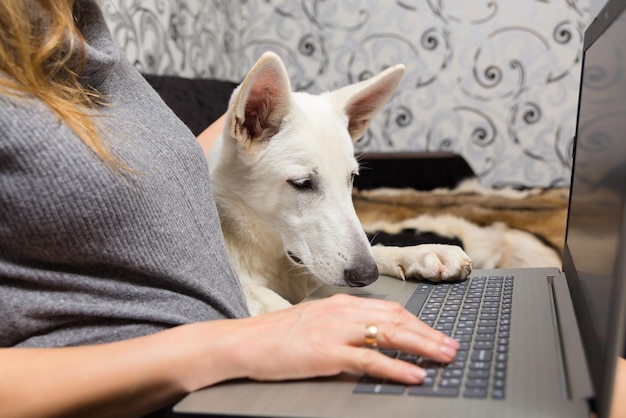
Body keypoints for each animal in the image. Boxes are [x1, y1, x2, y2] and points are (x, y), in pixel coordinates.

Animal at [207, 51, 470, 314]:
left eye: (351, 177)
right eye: (302, 183)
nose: (367, 275)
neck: (271, 255)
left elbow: (376, 248)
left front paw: (421, 252)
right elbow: (271, 301)